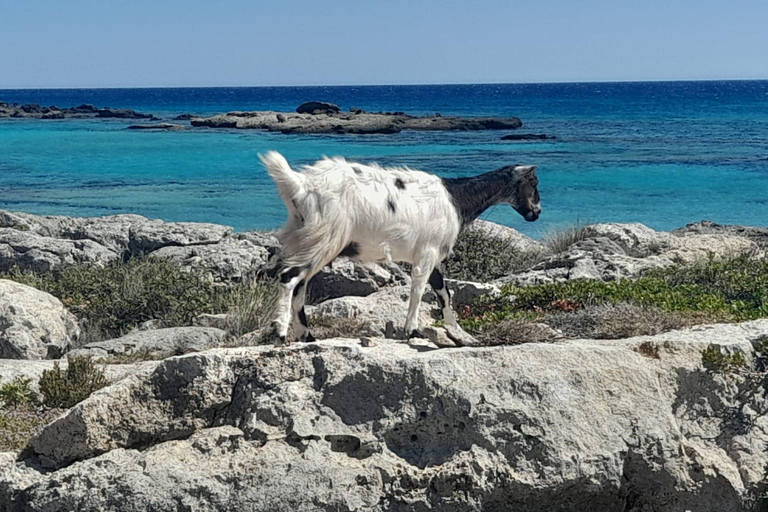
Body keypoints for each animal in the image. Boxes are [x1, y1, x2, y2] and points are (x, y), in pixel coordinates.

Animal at [258, 151, 540, 344]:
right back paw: (280, 332)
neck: (456, 198)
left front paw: (459, 332)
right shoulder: (427, 251)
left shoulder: (434, 254)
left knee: (300, 286)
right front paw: (412, 331)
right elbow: (418, 289)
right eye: (534, 182)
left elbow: (443, 291)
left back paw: (306, 336)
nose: (536, 213)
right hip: (325, 237)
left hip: (309, 239)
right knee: (289, 278)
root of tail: (301, 186)